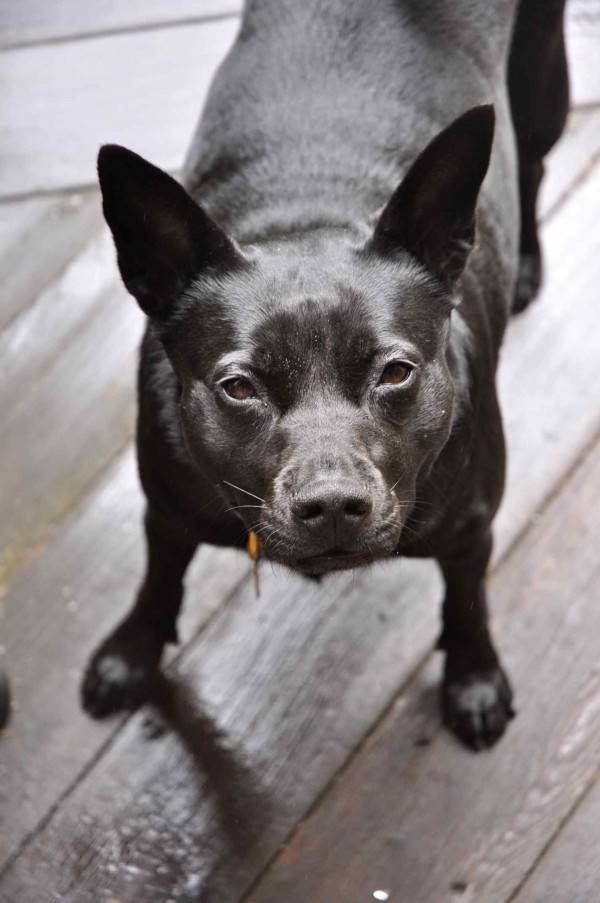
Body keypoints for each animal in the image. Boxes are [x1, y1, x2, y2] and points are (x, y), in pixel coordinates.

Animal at [82, 0, 568, 751]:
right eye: (239, 387)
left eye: (396, 373)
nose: (334, 503)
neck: (309, 212)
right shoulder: (166, 507)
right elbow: (159, 577)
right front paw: (130, 653)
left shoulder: (471, 528)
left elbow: (467, 601)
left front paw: (475, 678)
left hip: (545, 84)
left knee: (536, 161)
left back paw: (526, 262)